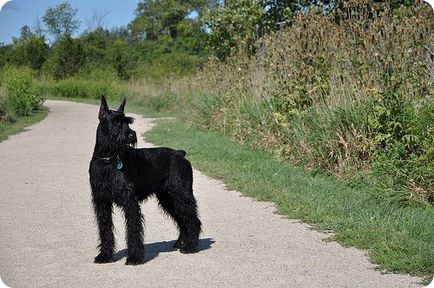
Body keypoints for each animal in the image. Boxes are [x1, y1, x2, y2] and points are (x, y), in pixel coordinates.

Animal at [89, 97, 203, 266]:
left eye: (127, 122)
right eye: (116, 122)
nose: (131, 135)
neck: (107, 159)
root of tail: (180, 154)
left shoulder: (130, 201)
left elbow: (133, 228)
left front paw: (134, 257)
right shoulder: (101, 201)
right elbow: (105, 228)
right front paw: (105, 255)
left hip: (181, 194)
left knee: (192, 219)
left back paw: (190, 246)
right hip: (168, 198)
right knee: (182, 219)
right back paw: (181, 242)